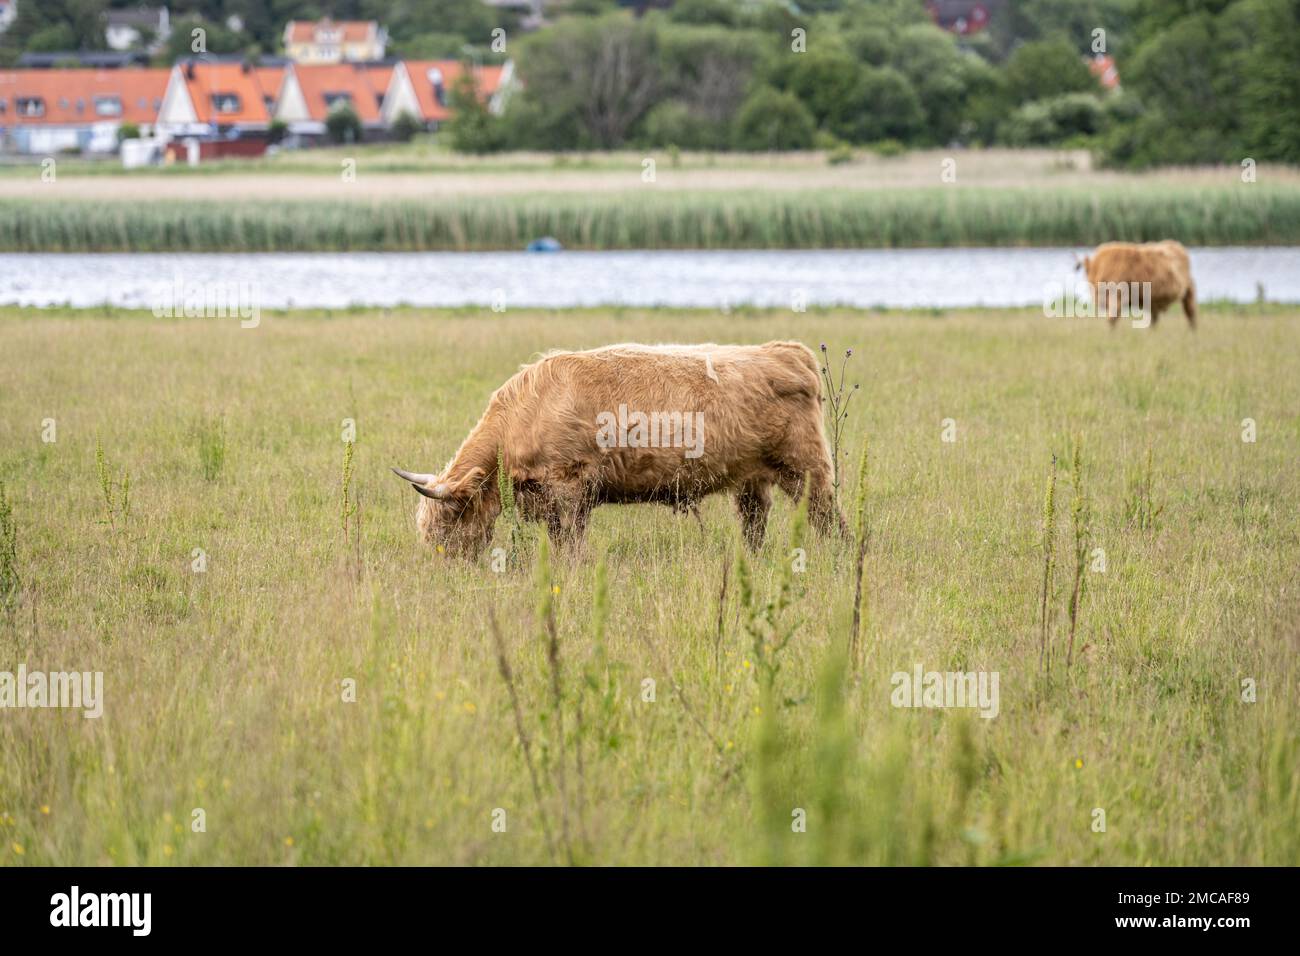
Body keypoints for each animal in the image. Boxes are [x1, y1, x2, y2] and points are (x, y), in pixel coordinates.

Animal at [393, 342, 847, 558]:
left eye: (448, 522)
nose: (445, 566)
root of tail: (787, 352)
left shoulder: (568, 487)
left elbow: (570, 539)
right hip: (753, 477)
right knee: (755, 521)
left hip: (806, 467)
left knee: (828, 517)